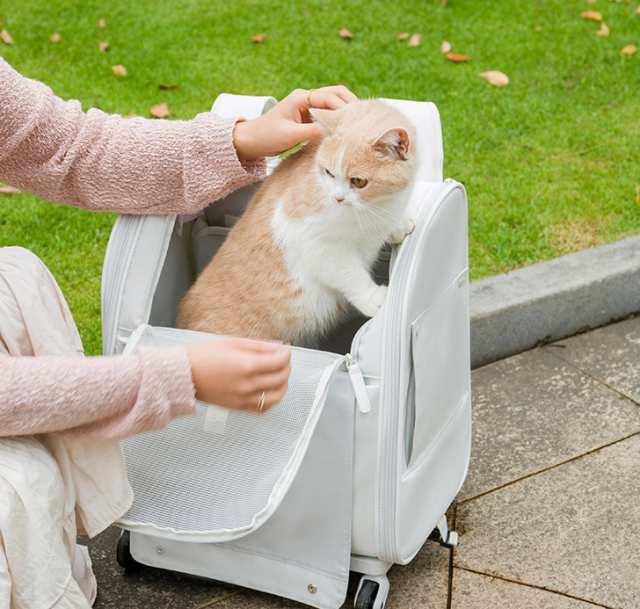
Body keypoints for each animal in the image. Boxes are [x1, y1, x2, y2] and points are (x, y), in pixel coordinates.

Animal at [179, 100, 420, 346]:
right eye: (329, 173)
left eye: (358, 181)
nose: (337, 198)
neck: (376, 206)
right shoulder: (309, 238)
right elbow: (347, 271)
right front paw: (373, 298)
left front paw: (397, 225)